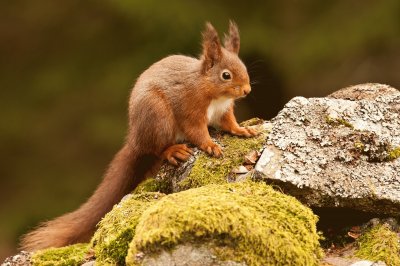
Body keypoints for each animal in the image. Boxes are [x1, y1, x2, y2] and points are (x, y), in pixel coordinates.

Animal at [21, 21, 256, 251]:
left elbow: (230, 123)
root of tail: (135, 140)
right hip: (157, 117)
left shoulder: (224, 111)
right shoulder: (190, 110)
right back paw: (173, 151)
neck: (211, 91)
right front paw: (210, 145)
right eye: (226, 75)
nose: (247, 90)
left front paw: (242, 130)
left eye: (244, 68)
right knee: (157, 149)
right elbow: (196, 132)